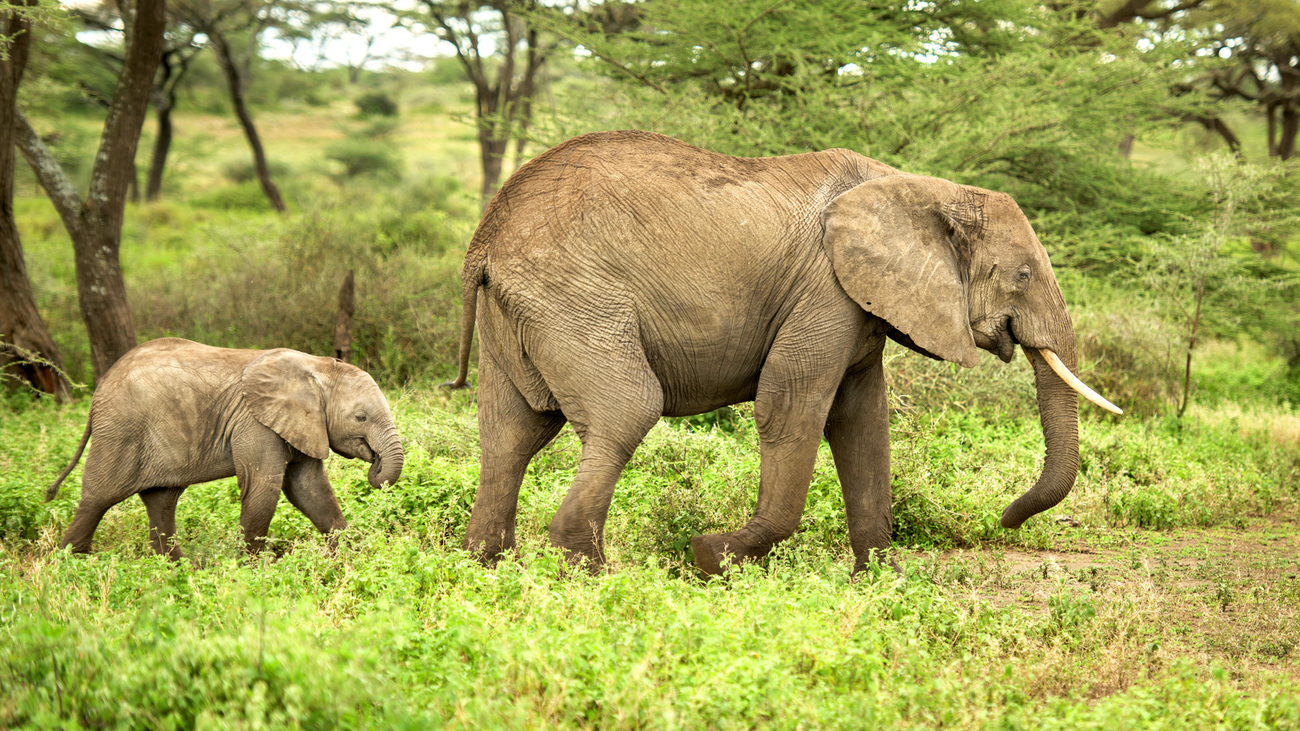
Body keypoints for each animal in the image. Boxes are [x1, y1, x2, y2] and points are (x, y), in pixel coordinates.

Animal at [45, 338, 403, 554]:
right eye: (360, 417)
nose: (375, 466)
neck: (316, 367)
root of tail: (99, 390)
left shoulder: (301, 425)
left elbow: (311, 490)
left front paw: (354, 557)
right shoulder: (256, 424)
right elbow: (263, 490)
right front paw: (255, 573)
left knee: (161, 502)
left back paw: (175, 573)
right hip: (120, 431)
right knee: (97, 499)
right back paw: (69, 566)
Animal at [447, 130, 1118, 574]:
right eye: (1023, 275)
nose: (1005, 518)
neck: (918, 185)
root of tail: (486, 235)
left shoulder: (859, 304)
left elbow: (862, 421)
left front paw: (883, 582)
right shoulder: (825, 290)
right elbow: (792, 407)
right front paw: (711, 556)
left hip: (519, 313)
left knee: (510, 431)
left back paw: (485, 564)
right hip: (572, 298)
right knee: (626, 409)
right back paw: (586, 571)